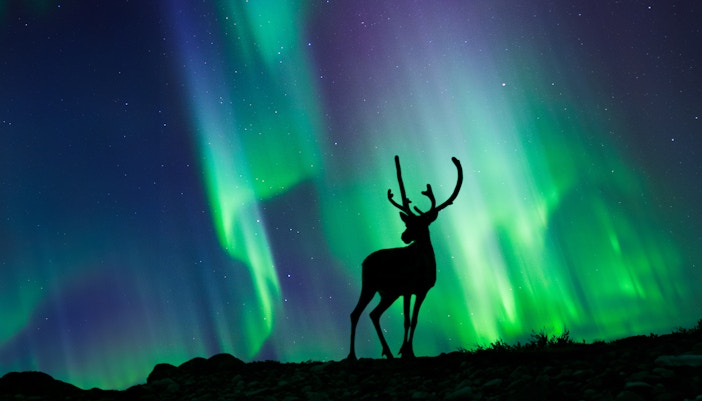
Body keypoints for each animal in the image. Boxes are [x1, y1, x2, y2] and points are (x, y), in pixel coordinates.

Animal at [347, 155, 463, 360]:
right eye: (408, 223)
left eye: (421, 224)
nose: (404, 236)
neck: (422, 268)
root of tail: (364, 261)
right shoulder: (407, 289)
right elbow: (406, 320)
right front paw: (405, 351)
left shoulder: (423, 290)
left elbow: (415, 320)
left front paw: (409, 351)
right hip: (370, 285)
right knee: (356, 313)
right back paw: (352, 355)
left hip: (389, 293)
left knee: (374, 314)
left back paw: (388, 352)